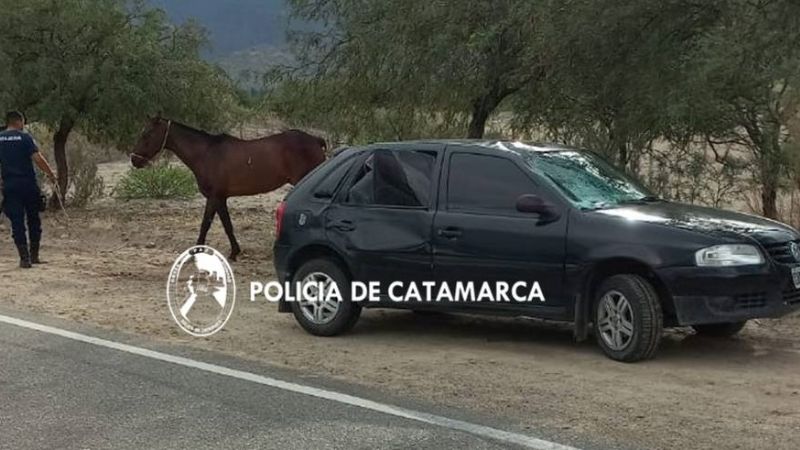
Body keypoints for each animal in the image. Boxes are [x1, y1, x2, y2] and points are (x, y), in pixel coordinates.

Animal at [130, 117, 326, 261]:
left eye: (147, 134)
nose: (134, 159)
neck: (206, 154)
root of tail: (316, 140)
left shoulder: (214, 196)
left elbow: (205, 224)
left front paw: (196, 251)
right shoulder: (221, 198)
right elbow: (227, 225)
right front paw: (234, 252)